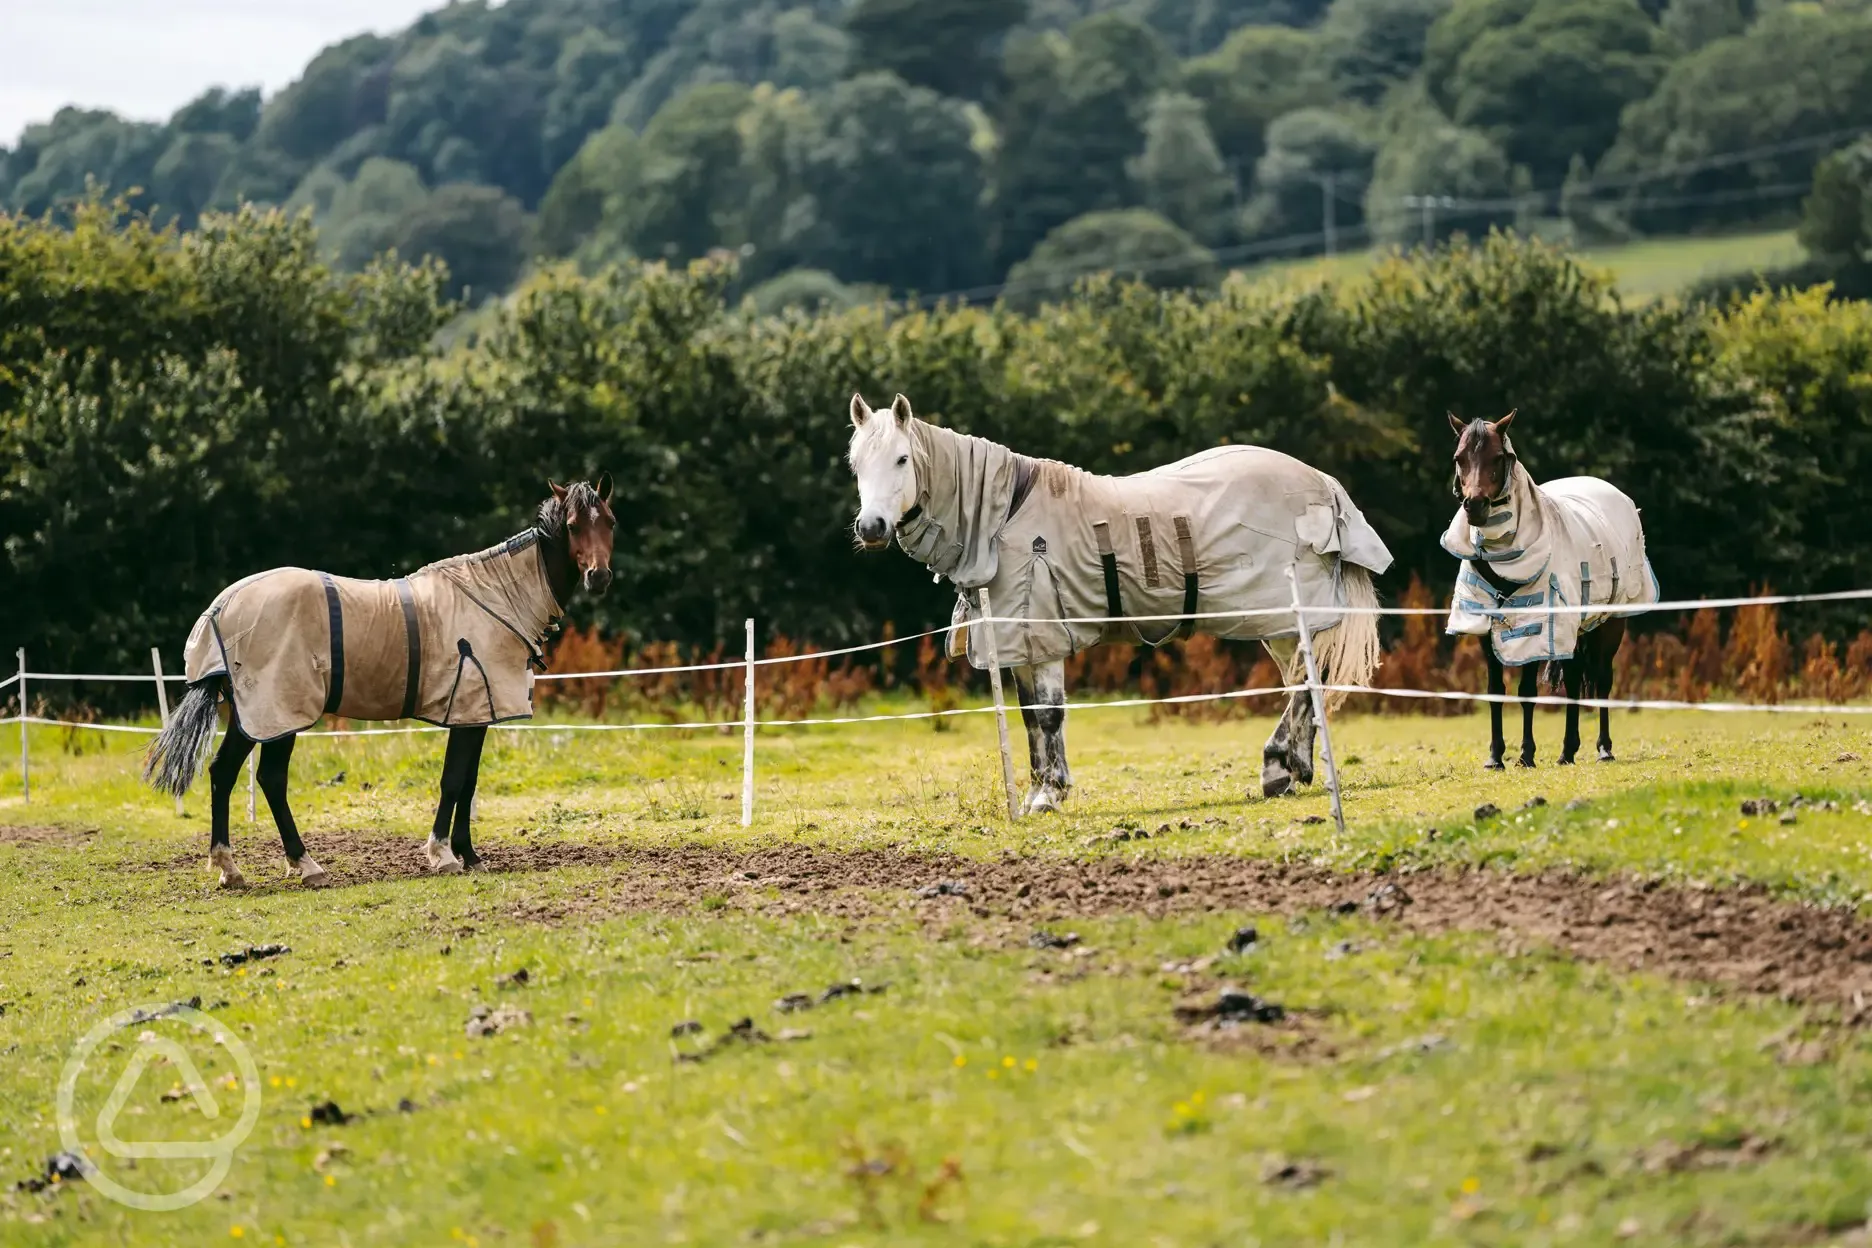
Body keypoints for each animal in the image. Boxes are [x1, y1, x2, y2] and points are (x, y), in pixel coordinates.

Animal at [144, 478, 616, 888]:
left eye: (610, 522)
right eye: (572, 526)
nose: (599, 577)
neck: (495, 594)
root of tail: (222, 607)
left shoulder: (477, 714)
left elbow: (468, 783)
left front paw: (469, 855)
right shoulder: (467, 713)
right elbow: (452, 781)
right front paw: (443, 855)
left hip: (253, 716)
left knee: (224, 773)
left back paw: (232, 868)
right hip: (279, 713)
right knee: (270, 780)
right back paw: (304, 865)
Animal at [846, 393, 1393, 810]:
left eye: (901, 459)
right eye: (856, 464)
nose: (871, 528)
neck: (1006, 518)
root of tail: (1324, 483)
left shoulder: (1045, 638)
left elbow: (1049, 715)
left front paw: (1049, 796)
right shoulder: (1019, 642)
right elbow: (1028, 717)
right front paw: (1039, 791)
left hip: (1283, 616)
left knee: (1302, 684)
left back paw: (1277, 768)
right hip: (1280, 624)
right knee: (1304, 683)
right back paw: (1296, 769)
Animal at [1444, 411, 1658, 768]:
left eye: (1497, 457)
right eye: (1459, 458)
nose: (1475, 505)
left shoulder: (1533, 627)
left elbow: (1527, 691)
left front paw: (1526, 755)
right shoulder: (1486, 631)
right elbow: (1495, 689)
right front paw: (1495, 757)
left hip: (1610, 624)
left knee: (1602, 679)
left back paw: (1603, 749)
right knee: (1573, 680)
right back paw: (1567, 751)